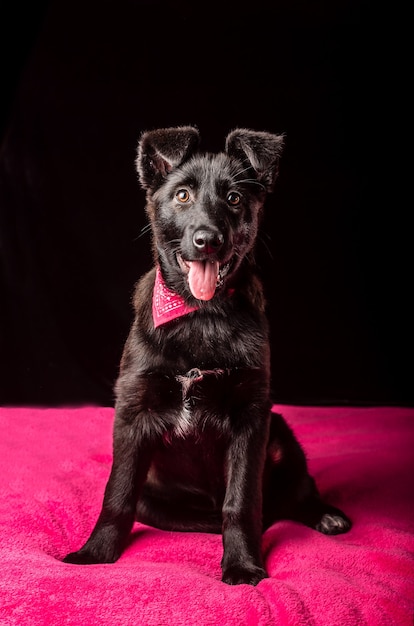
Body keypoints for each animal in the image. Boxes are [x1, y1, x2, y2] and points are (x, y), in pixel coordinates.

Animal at [63, 124, 350, 584]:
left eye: (234, 198)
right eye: (182, 195)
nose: (208, 240)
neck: (201, 314)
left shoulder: (252, 416)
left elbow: (242, 502)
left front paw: (243, 564)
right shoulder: (133, 413)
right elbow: (117, 494)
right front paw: (96, 553)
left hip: (280, 430)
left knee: (291, 493)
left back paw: (323, 514)